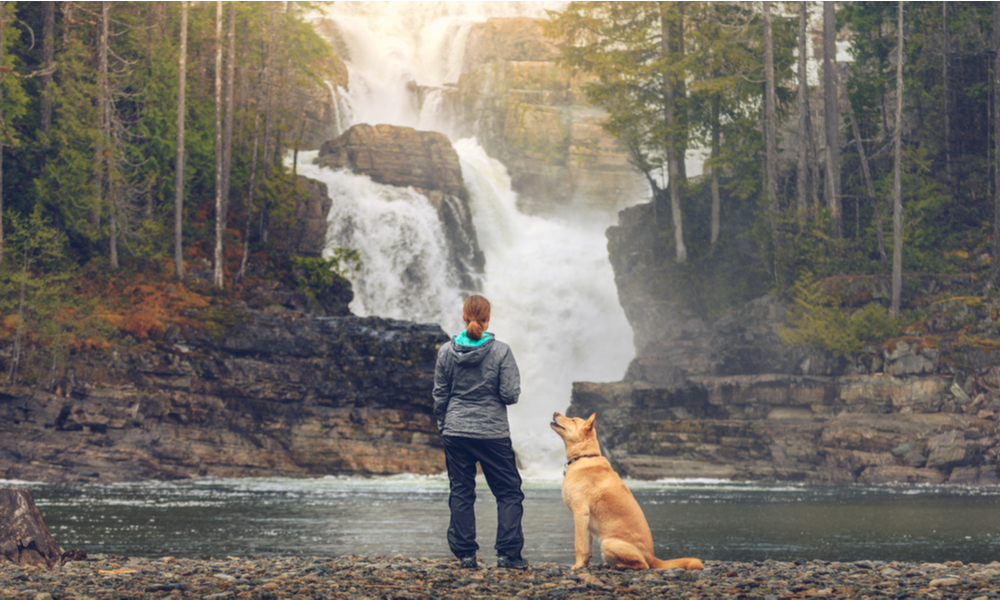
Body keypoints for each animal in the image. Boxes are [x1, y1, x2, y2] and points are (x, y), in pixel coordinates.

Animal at [548, 412, 704, 572]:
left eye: (573, 420)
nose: (555, 413)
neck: (584, 457)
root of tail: (653, 558)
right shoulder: (587, 521)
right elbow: (587, 549)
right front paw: (584, 565)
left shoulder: (580, 513)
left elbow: (578, 545)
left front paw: (577, 566)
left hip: (608, 542)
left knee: (643, 565)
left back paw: (620, 566)